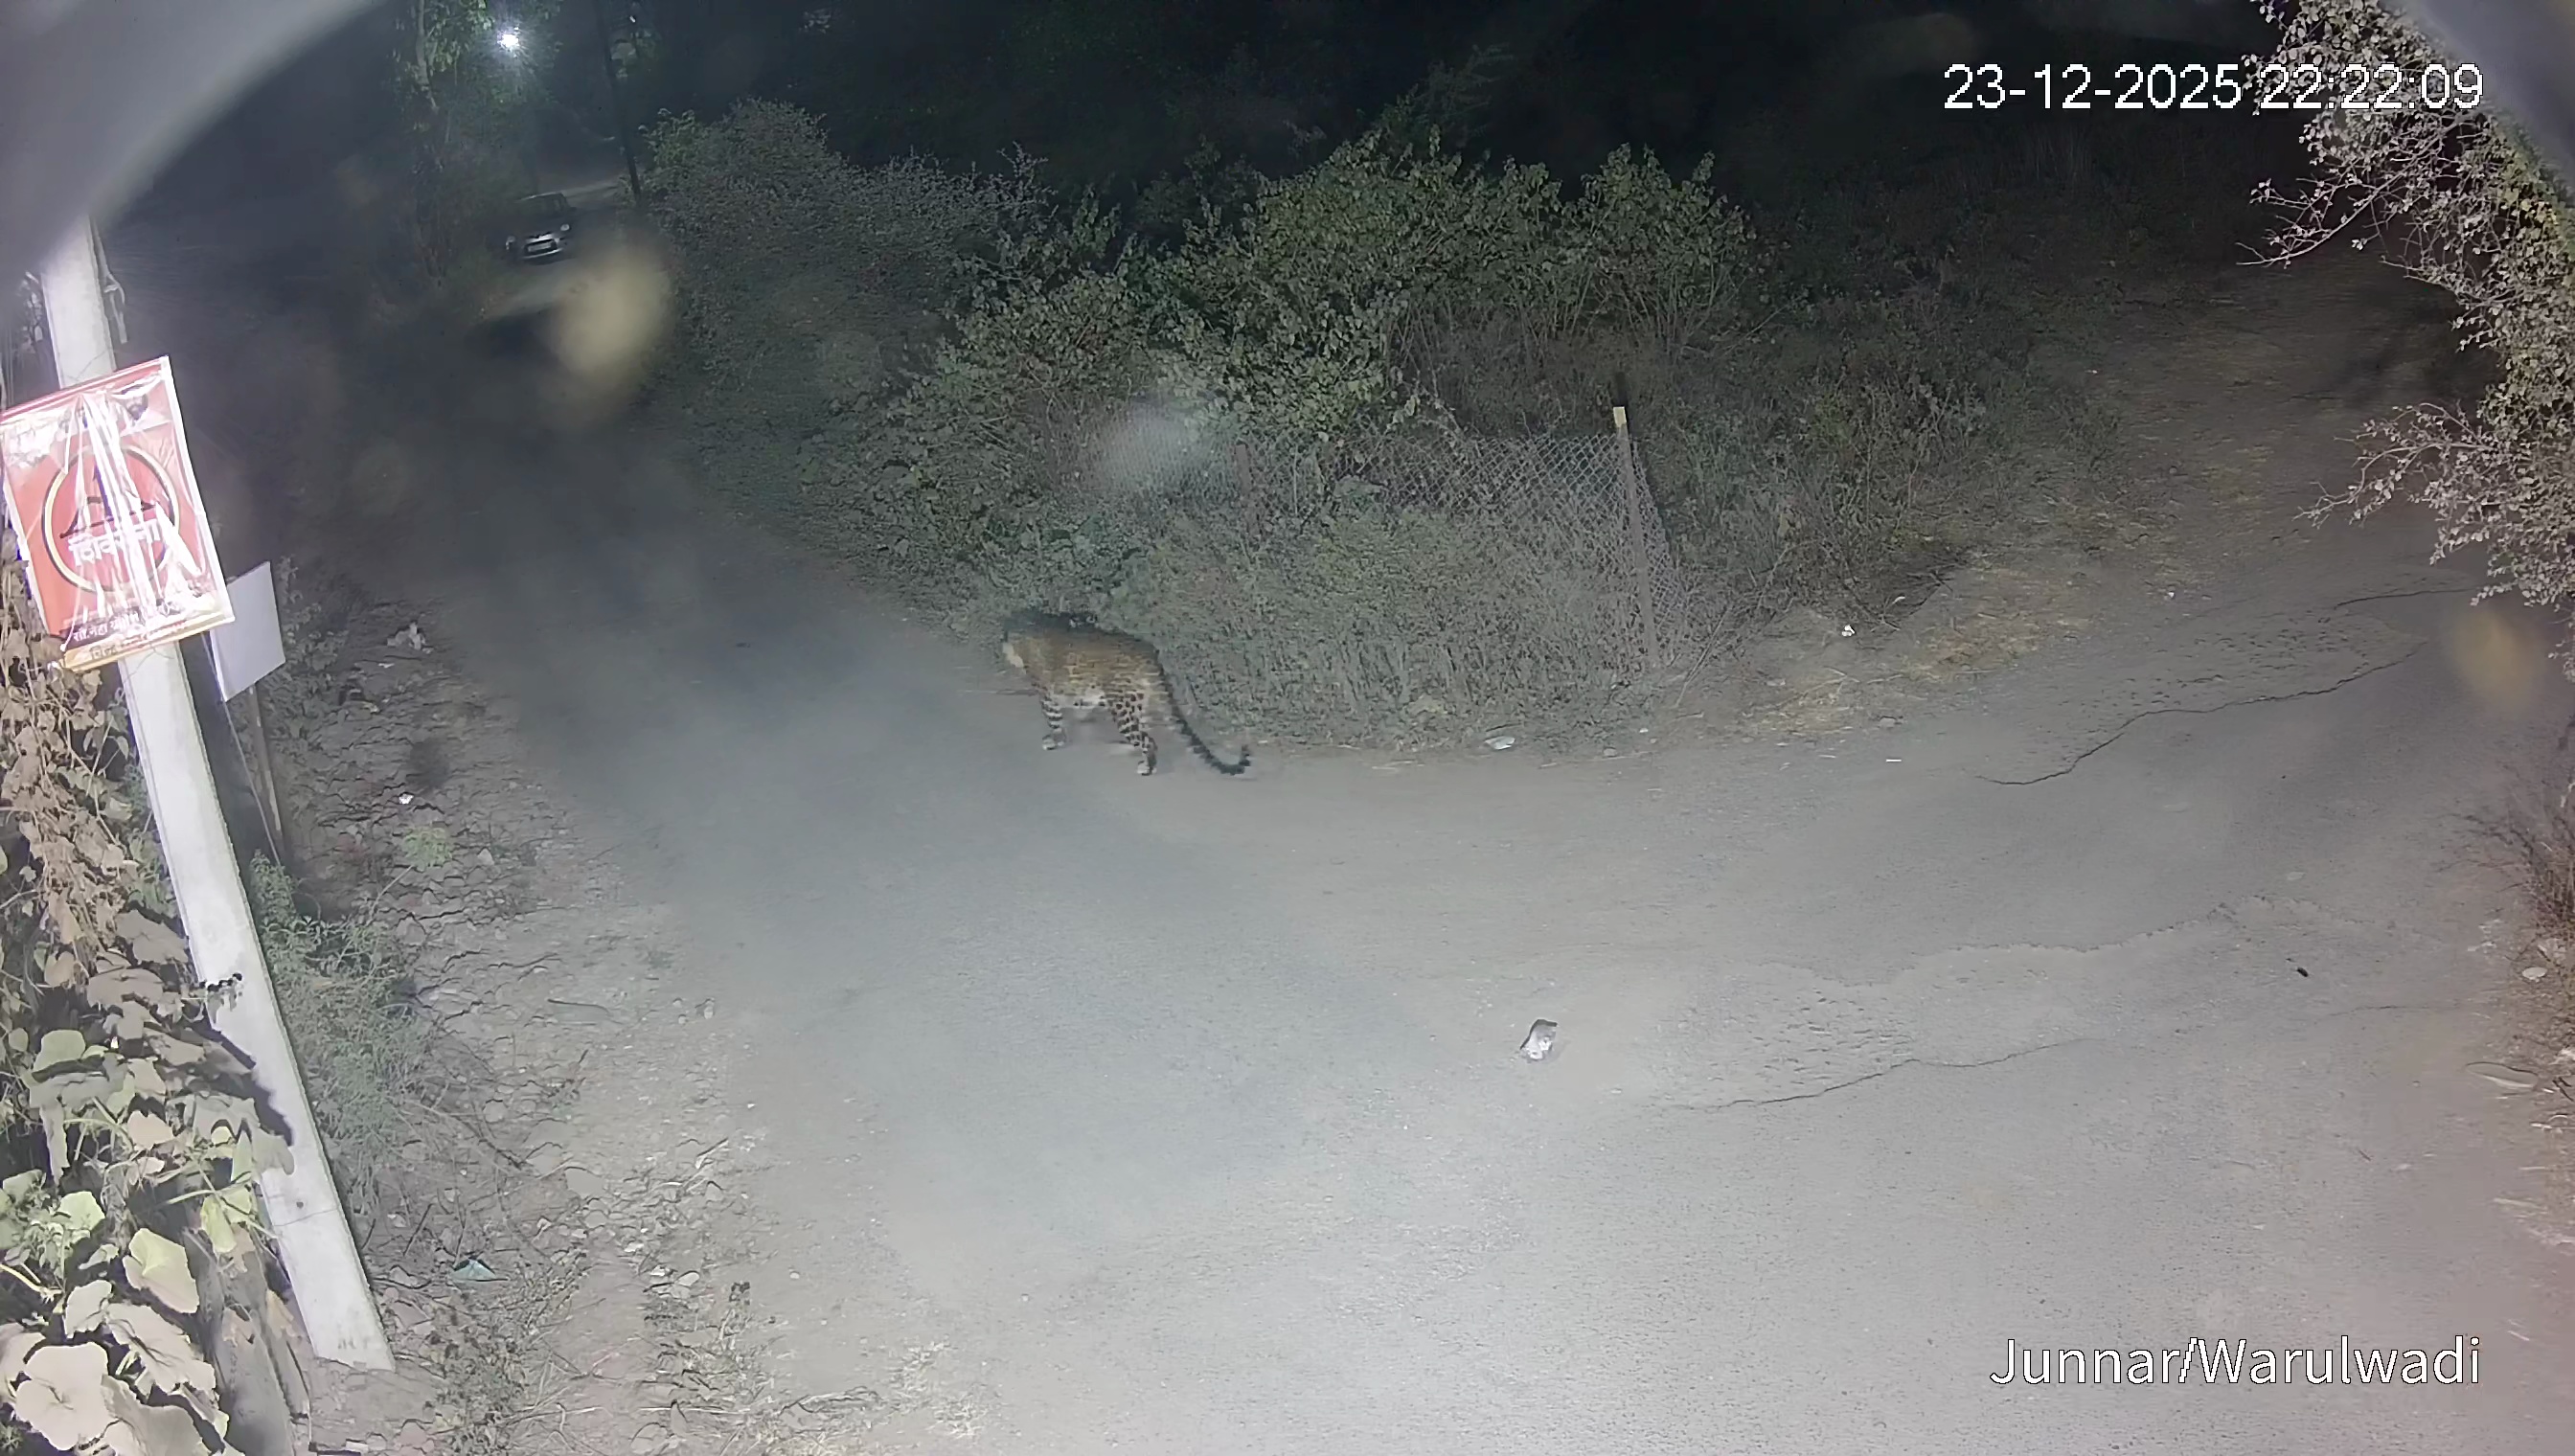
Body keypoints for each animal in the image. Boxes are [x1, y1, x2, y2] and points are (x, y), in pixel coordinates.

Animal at [998, 609, 1251, 777]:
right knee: (1145, 733)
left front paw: (1055, 739)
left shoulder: (1045, 691)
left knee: (1147, 740)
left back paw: (1146, 767)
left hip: (1122, 706)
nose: (1005, 654)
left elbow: (1054, 718)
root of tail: (1147, 653)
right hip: (1138, 700)